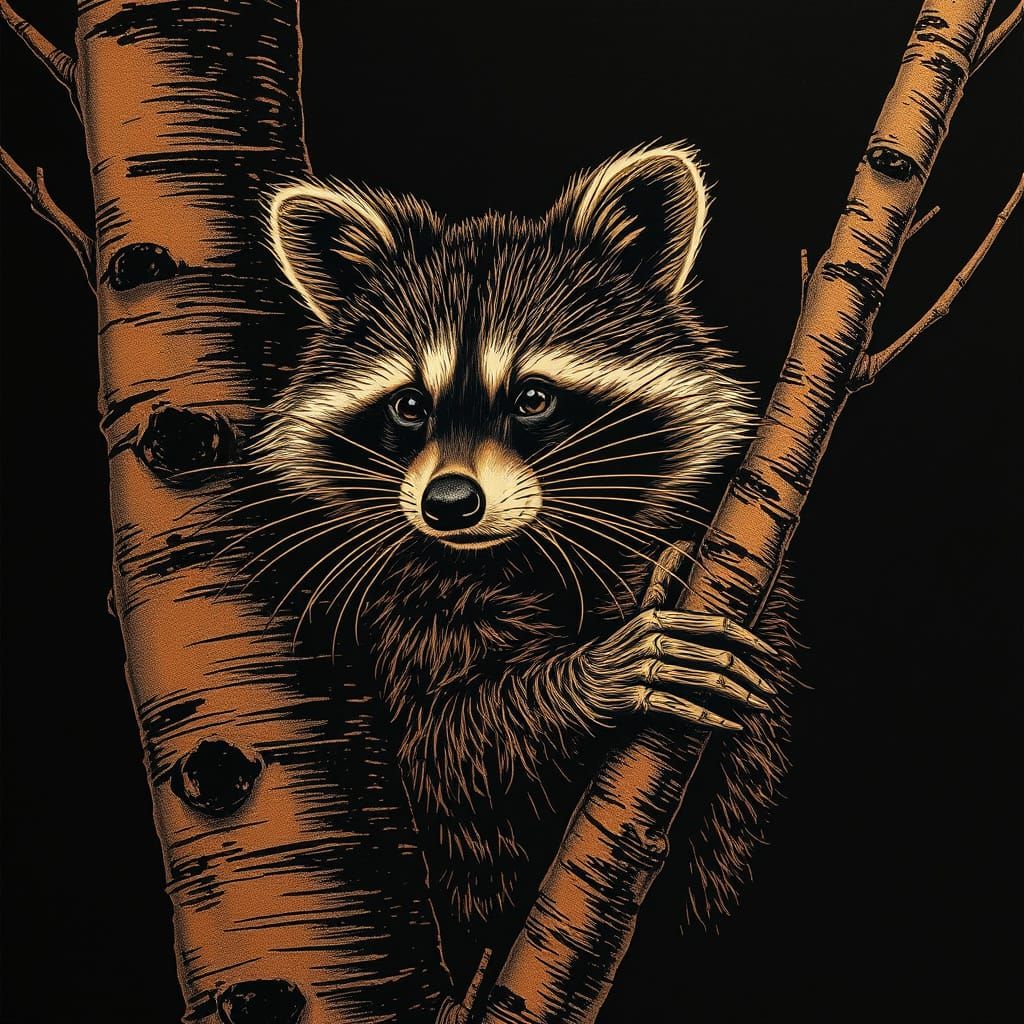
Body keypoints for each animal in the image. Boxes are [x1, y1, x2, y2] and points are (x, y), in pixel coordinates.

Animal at [255, 143, 799, 985]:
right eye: (410, 405)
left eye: (533, 397)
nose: (449, 504)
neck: (527, 543)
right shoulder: (403, 607)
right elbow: (453, 741)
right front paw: (598, 675)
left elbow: (741, 784)